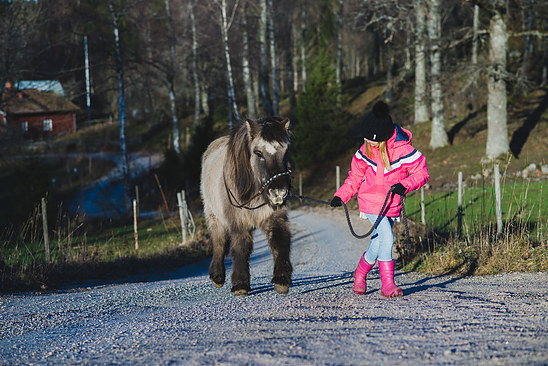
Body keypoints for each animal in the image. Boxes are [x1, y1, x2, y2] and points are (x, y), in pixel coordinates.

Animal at [200, 117, 294, 298]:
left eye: (286, 151)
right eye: (258, 153)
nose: (278, 193)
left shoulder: (274, 217)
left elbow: (280, 241)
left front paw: (281, 280)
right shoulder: (239, 221)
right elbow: (240, 247)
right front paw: (240, 284)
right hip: (214, 216)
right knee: (219, 241)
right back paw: (217, 276)